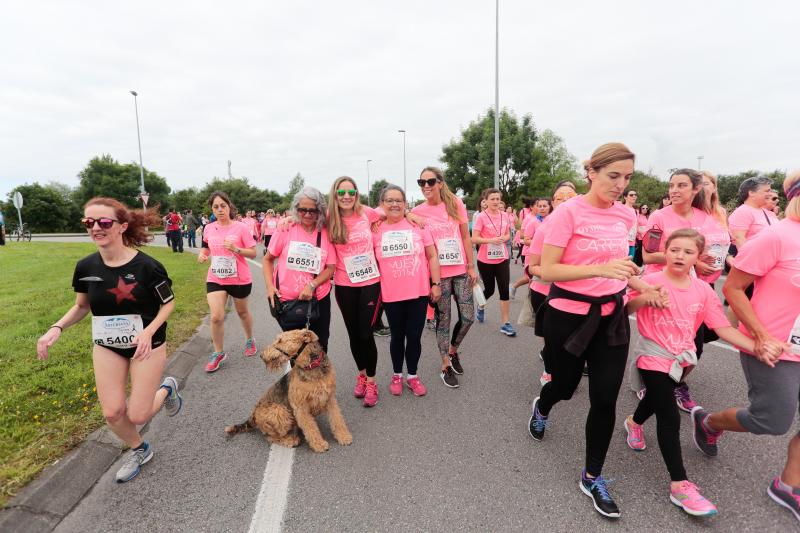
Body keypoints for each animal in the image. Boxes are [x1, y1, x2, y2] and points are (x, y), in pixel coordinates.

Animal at [223, 328, 352, 448]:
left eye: (280, 340)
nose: (262, 355)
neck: (311, 367)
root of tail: (252, 415)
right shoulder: (300, 407)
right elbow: (310, 428)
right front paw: (319, 444)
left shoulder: (330, 399)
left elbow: (337, 419)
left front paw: (344, 436)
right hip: (279, 411)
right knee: (270, 437)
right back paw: (290, 440)